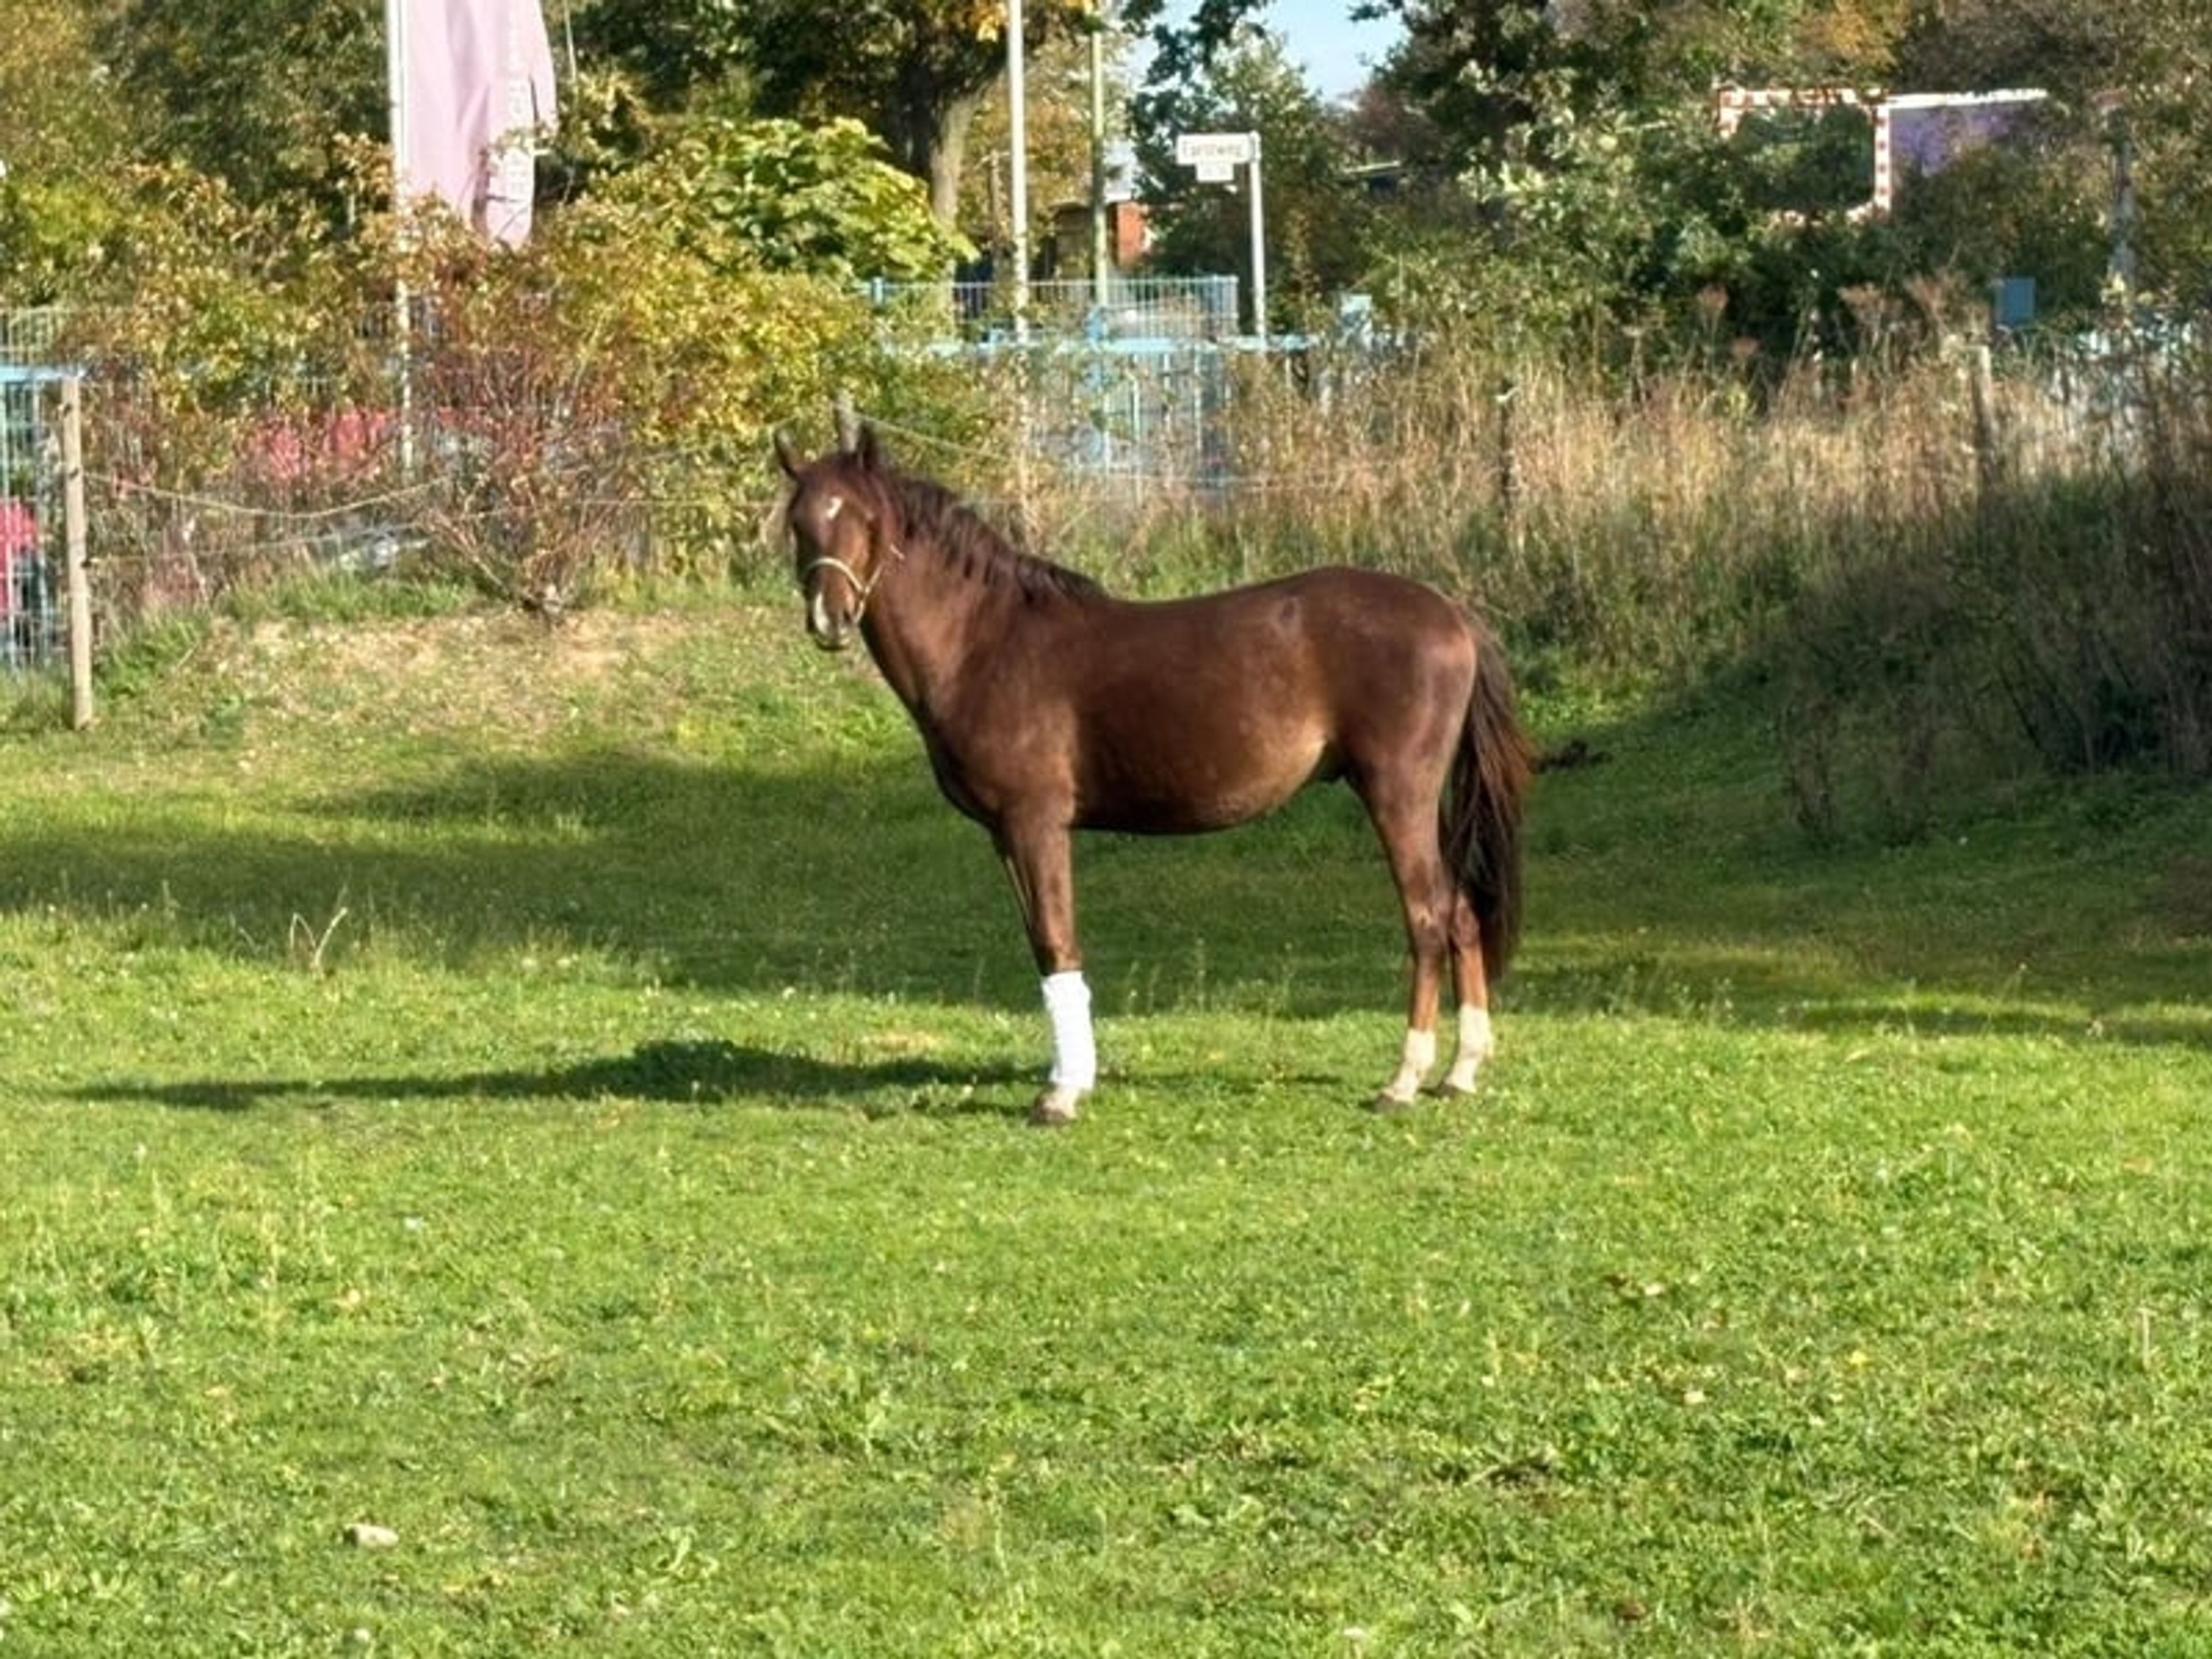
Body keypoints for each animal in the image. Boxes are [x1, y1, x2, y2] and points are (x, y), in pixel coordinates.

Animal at [774, 425, 1532, 1125]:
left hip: (1397, 793)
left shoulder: (1035, 822)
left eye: (865, 517)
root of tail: (1452, 613)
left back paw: (1404, 1080)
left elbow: (1057, 938)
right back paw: (1461, 1072)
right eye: (799, 520)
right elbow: (1041, 943)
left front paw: (1061, 1095)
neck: (986, 644)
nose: (828, 618)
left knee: (1428, 917)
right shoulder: (1003, 834)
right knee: (1462, 912)